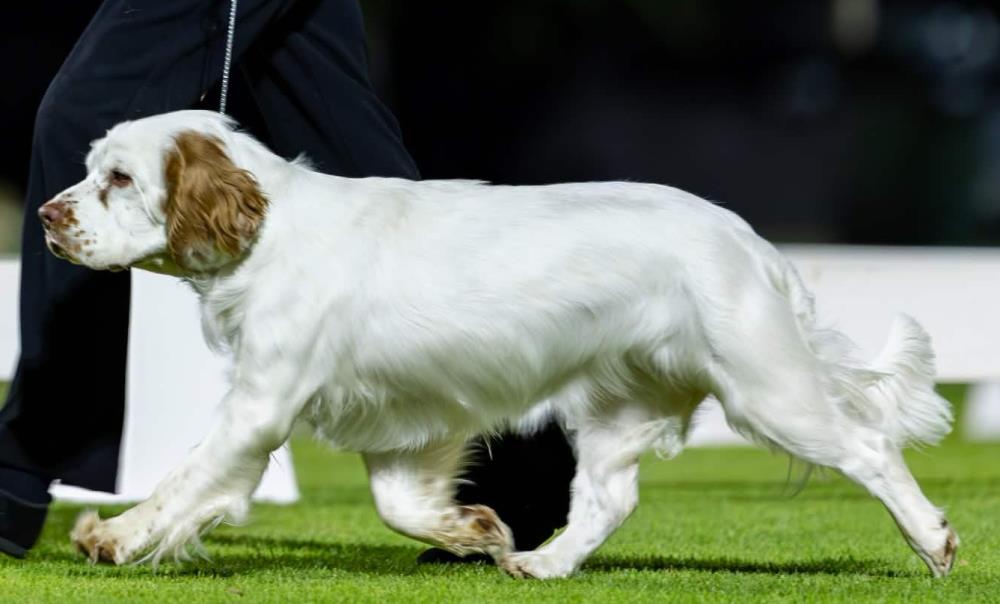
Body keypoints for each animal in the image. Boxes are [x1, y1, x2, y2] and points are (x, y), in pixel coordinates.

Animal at [40, 110, 957, 578]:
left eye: (118, 178)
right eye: (91, 170)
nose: (47, 216)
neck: (269, 231)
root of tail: (751, 241)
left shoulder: (261, 405)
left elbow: (184, 482)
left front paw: (112, 536)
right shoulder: (402, 422)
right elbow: (398, 503)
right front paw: (474, 532)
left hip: (768, 390)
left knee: (871, 448)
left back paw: (934, 541)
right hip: (616, 408)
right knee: (608, 500)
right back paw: (544, 565)